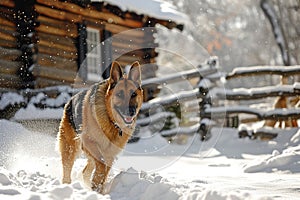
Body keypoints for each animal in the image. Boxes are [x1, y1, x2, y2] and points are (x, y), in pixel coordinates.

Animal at [57, 61, 144, 193]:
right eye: (119, 94)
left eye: (133, 94)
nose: (131, 112)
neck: (111, 121)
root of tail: (70, 101)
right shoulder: (90, 143)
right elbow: (102, 166)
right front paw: (96, 184)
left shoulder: (110, 154)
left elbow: (104, 170)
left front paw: (98, 189)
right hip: (70, 148)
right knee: (67, 170)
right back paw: (67, 186)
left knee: (85, 171)